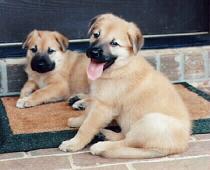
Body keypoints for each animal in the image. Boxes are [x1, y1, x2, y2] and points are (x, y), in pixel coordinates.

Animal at [59, 13, 192, 159]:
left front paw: (73, 143)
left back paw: (101, 146)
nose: (93, 52)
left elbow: (87, 127)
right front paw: (78, 120)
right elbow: (88, 114)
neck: (122, 67)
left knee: (128, 141)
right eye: (96, 35)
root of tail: (180, 146)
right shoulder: (99, 99)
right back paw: (105, 134)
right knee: (125, 136)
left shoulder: (104, 107)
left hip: (151, 122)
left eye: (114, 43)